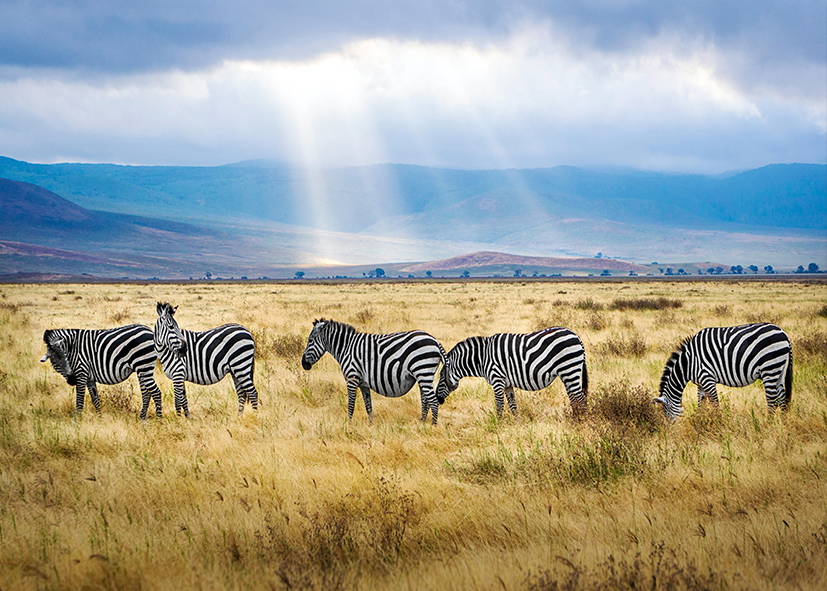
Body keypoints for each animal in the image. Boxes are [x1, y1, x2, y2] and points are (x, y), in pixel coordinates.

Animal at [300, 320, 450, 426]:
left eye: (310, 341)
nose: (303, 364)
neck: (346, 348)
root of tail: (435, 340)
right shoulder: (363, 383)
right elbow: (368, 405)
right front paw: (371, 425)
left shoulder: (352, 378)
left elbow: (351, 404)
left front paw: (348, 424)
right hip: (423, 375)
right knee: (426, 400)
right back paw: (422, 423)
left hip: (423, 370)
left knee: (433, 401)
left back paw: (433, 427)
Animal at [436, 328, 592, 416]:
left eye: (441, 377)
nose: (438, 398)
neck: (482, 358)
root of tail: (576, 336)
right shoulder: (507, 384)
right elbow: (512, 405)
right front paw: (516, 424)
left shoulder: (497, 380)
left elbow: (499, 406)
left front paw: (498, 426)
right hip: (568, 373)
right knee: (574, 398)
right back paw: (574, 419)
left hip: (569, 368)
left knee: (581, 398)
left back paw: (581, 423)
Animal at [656, 324, 792, 420]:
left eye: (665, 414)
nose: (668, 431)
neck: (688, 363)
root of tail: (784, 333)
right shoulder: (700, 383)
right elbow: (701, 403)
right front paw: (700, 421)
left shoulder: (707, 378)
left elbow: (715, 404)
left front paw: (719, 423)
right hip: (779, 371)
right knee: (781, 398)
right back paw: (784, 424)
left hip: (769, 368)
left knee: (772, 401)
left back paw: (767, 425)